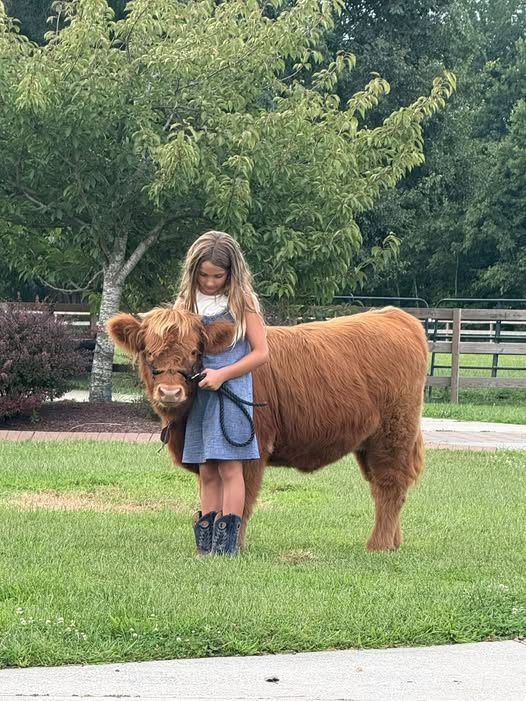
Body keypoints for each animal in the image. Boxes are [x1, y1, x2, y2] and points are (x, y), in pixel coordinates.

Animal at [107, 306, 428, 551]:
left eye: (195, 352)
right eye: (148, 352)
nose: (170, 392)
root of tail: (394, 314)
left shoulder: (251, 449)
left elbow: (241, 499)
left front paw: (234, 546)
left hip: (393, 435)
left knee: (390, 485)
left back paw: (379, 545)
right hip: (369, 443)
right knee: (382, 486)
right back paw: (394, 542)